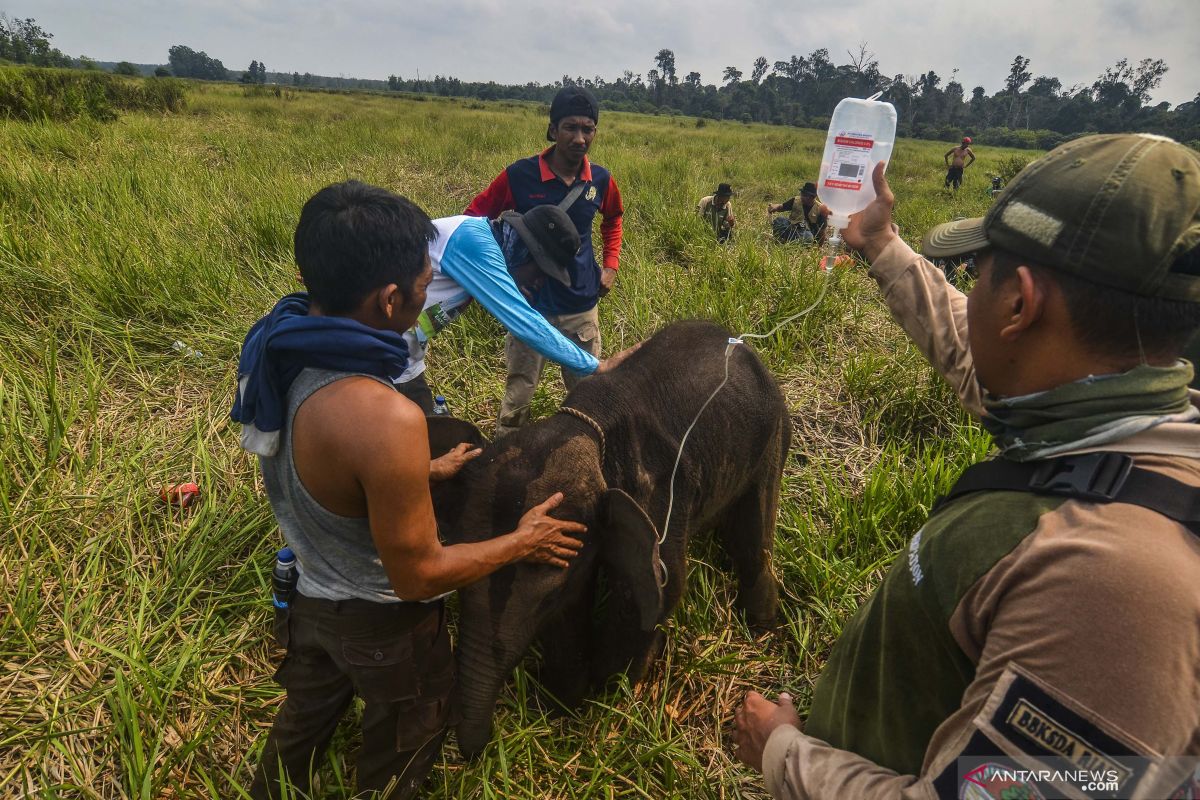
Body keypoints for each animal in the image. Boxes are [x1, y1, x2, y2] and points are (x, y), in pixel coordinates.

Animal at [427, 319, 792, 758]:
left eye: (547, 597)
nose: (473, 752)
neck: (586, 425)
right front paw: (566, 699)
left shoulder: (660, 497)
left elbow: (657, 593)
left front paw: (608, 694)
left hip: (771, 437)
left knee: (754, 539)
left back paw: (761, 626)